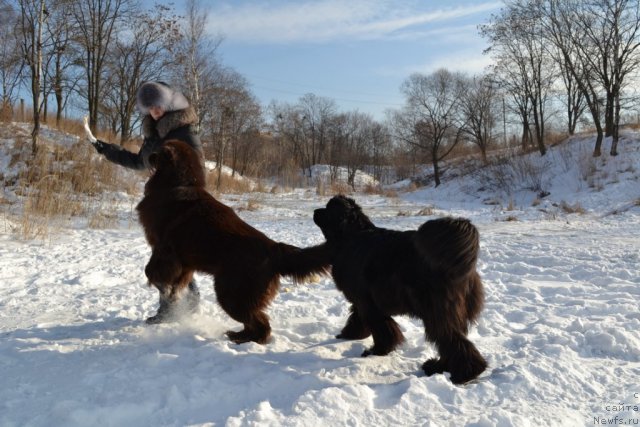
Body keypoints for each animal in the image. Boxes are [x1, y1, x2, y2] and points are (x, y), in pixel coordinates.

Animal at [139, 140, 330, 344]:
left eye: (159, 151)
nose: (148, 155)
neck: (177, 183)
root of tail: (273, 248)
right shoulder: (184, 261)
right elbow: (178, 281)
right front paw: (172, 296)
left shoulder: (164, 249)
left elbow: (152, 271)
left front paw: (162, 289)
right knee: (255, 322)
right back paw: (238, 335)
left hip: (231, 293)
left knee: (261, 324)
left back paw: (242, 340)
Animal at [314, 196, 484, 386]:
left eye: (328, 209)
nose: (315, 211)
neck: (350, 236)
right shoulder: (363, 300)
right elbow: (357, 317)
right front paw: (351, 334)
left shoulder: (368, 302)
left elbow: (381, 328)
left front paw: (377, 351)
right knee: (451, 341)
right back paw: (438, 368)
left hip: (436, 311)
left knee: (452, 341)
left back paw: (464, 374)